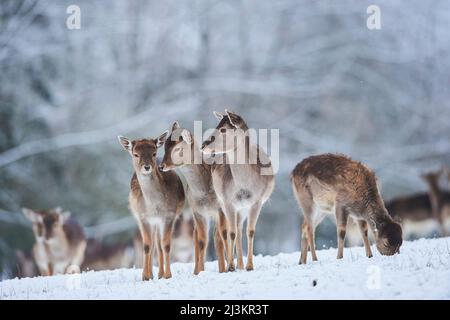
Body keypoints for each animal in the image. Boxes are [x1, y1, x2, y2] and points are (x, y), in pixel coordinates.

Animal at [118, 132, 185, 280]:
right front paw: (145, 276)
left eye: (154, 153)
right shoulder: (143, 217)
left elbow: (166, 245)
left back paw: (160, 274)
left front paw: (168, 275)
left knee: (159, 244)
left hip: (160, 222)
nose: (147, 167)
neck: (154, 207)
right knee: (153, 244)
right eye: (135, 154)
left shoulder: (169, 215)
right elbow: (147, 245)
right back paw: (153, 274)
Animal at [159, 121, 229, 274]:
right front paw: (200, 272)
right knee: (197, 236)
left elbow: (220, 238)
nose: (161, 166)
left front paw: (224, 269)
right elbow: (202, 240)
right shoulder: (198, 210)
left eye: (178, 148)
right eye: (165, 146)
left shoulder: (220, 209)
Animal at [200, 109, 274, 270]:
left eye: (223, 128)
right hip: (222, 203)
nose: (203, 145)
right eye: (217, 124)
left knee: (239, 229)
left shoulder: (257, 201)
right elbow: (231, 233)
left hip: (242, 208)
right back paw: (230, 265)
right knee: (224, 232)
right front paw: (230, 266)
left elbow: (250, 231)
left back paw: (240, 264)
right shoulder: (228, 201)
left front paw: (249, 266)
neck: (244, 187)